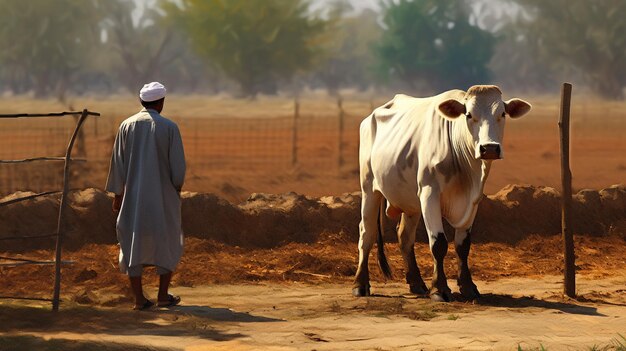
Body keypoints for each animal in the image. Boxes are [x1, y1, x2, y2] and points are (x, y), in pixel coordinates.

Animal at [354, 86, 528, 302]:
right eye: (469, 115)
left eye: (502, 114)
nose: (489, 148)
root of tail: (370, 117)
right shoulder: (429, 194)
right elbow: (438, 243)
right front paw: (439, 289)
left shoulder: (473, 200)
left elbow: (463, 245)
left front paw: (468, 287)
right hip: (369, 189)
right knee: (366, 233)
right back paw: (360, 284)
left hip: (410, 202)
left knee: (405, 236)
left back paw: (417, 283)